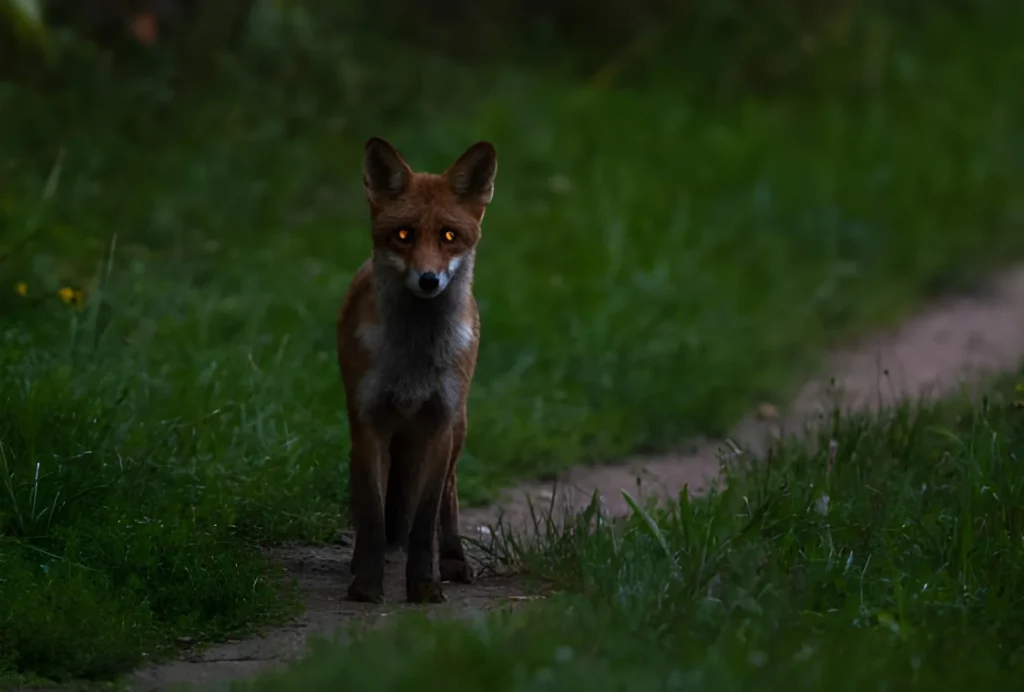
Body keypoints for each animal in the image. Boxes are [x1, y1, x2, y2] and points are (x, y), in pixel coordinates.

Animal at [336, 137, 497, 603]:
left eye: (450, 236)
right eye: (403, 235)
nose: (428, 280)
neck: (413, 360)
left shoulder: (439, 423)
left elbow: (425, 519)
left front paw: (425, 585)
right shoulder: (368, 421)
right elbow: (373, 514)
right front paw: (366, 585)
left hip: (458, 428)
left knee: (450, 495)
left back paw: (454, 561)